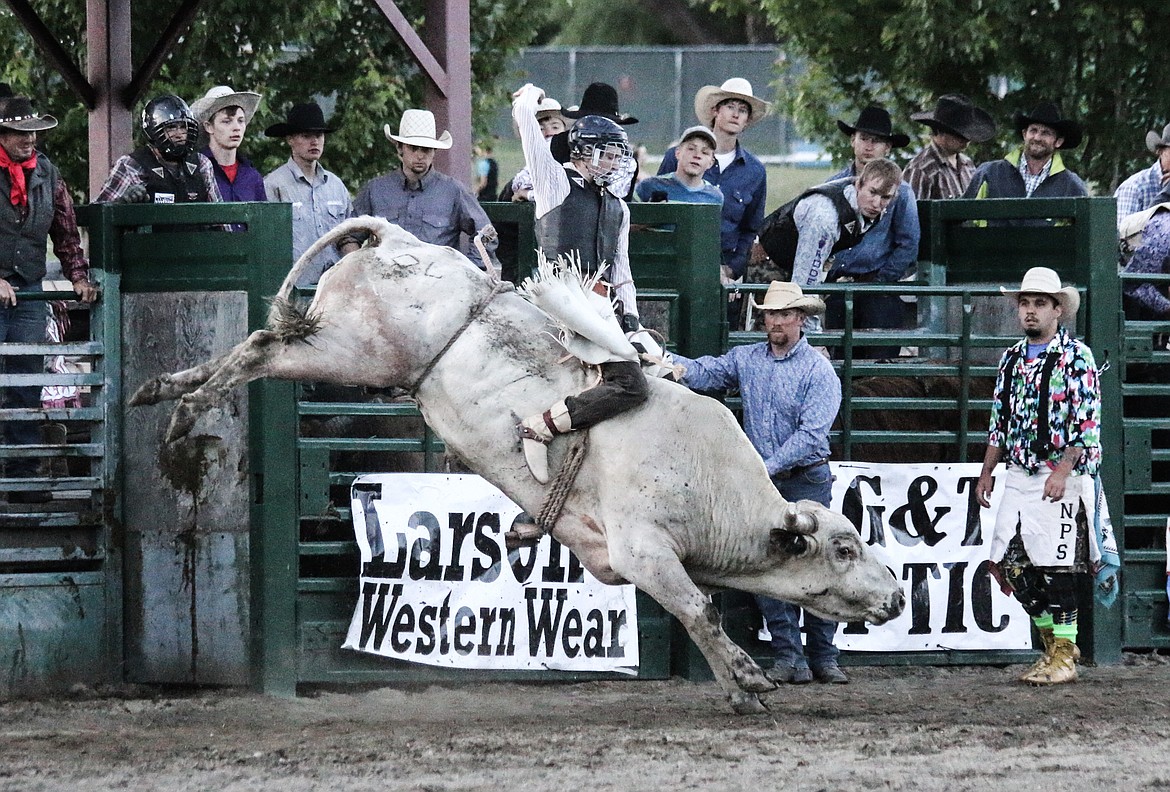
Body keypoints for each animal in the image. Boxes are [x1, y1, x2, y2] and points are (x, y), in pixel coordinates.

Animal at [130, 217, 903, 715]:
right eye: (844, 547)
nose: (897, 598)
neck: (716, 485)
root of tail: (398, 241)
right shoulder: (644, 549)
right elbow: (698, 610)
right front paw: (747, 681)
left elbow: (698, 610)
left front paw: (742, 682)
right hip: (353, 352)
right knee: (263, 347)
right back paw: (182, 412)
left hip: (344, 348)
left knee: (255, 344)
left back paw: (163, 393)